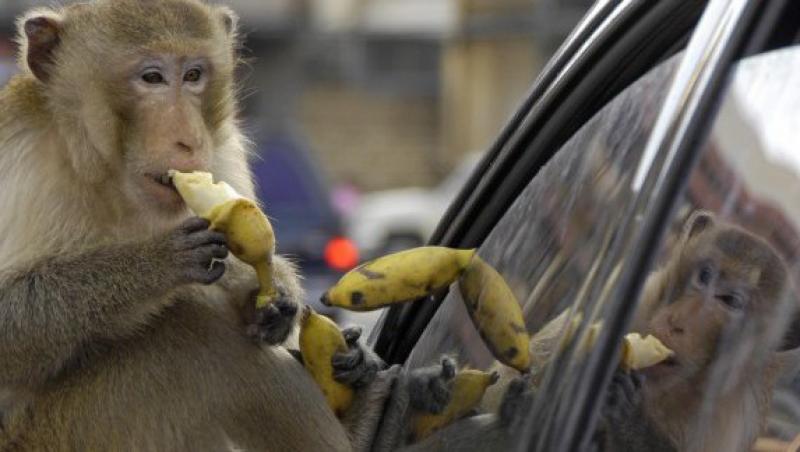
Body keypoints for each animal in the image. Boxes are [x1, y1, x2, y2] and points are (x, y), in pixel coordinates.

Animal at [0, 1, 400, 450]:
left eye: (193, 75)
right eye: (152, 77)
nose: (189, 140)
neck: (109, 172)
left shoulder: (223, 147)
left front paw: (274, 297)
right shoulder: (22, 154)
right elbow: (7, 327)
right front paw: (154, 264)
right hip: (65, 431)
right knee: (200, 331)